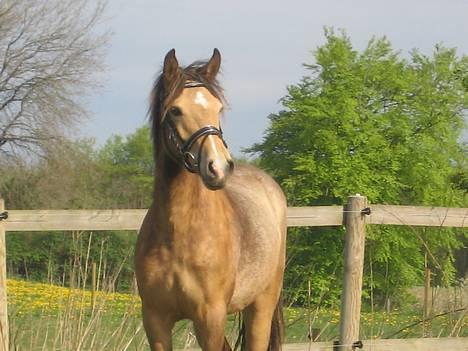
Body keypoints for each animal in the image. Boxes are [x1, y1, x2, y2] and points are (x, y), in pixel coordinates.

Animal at [135, 48, 288, 351]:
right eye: (175, 110)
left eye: (218, 108)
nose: (219, 167)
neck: (179, 235)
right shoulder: (155, 321)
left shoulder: (211, 318)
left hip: (262, 306)